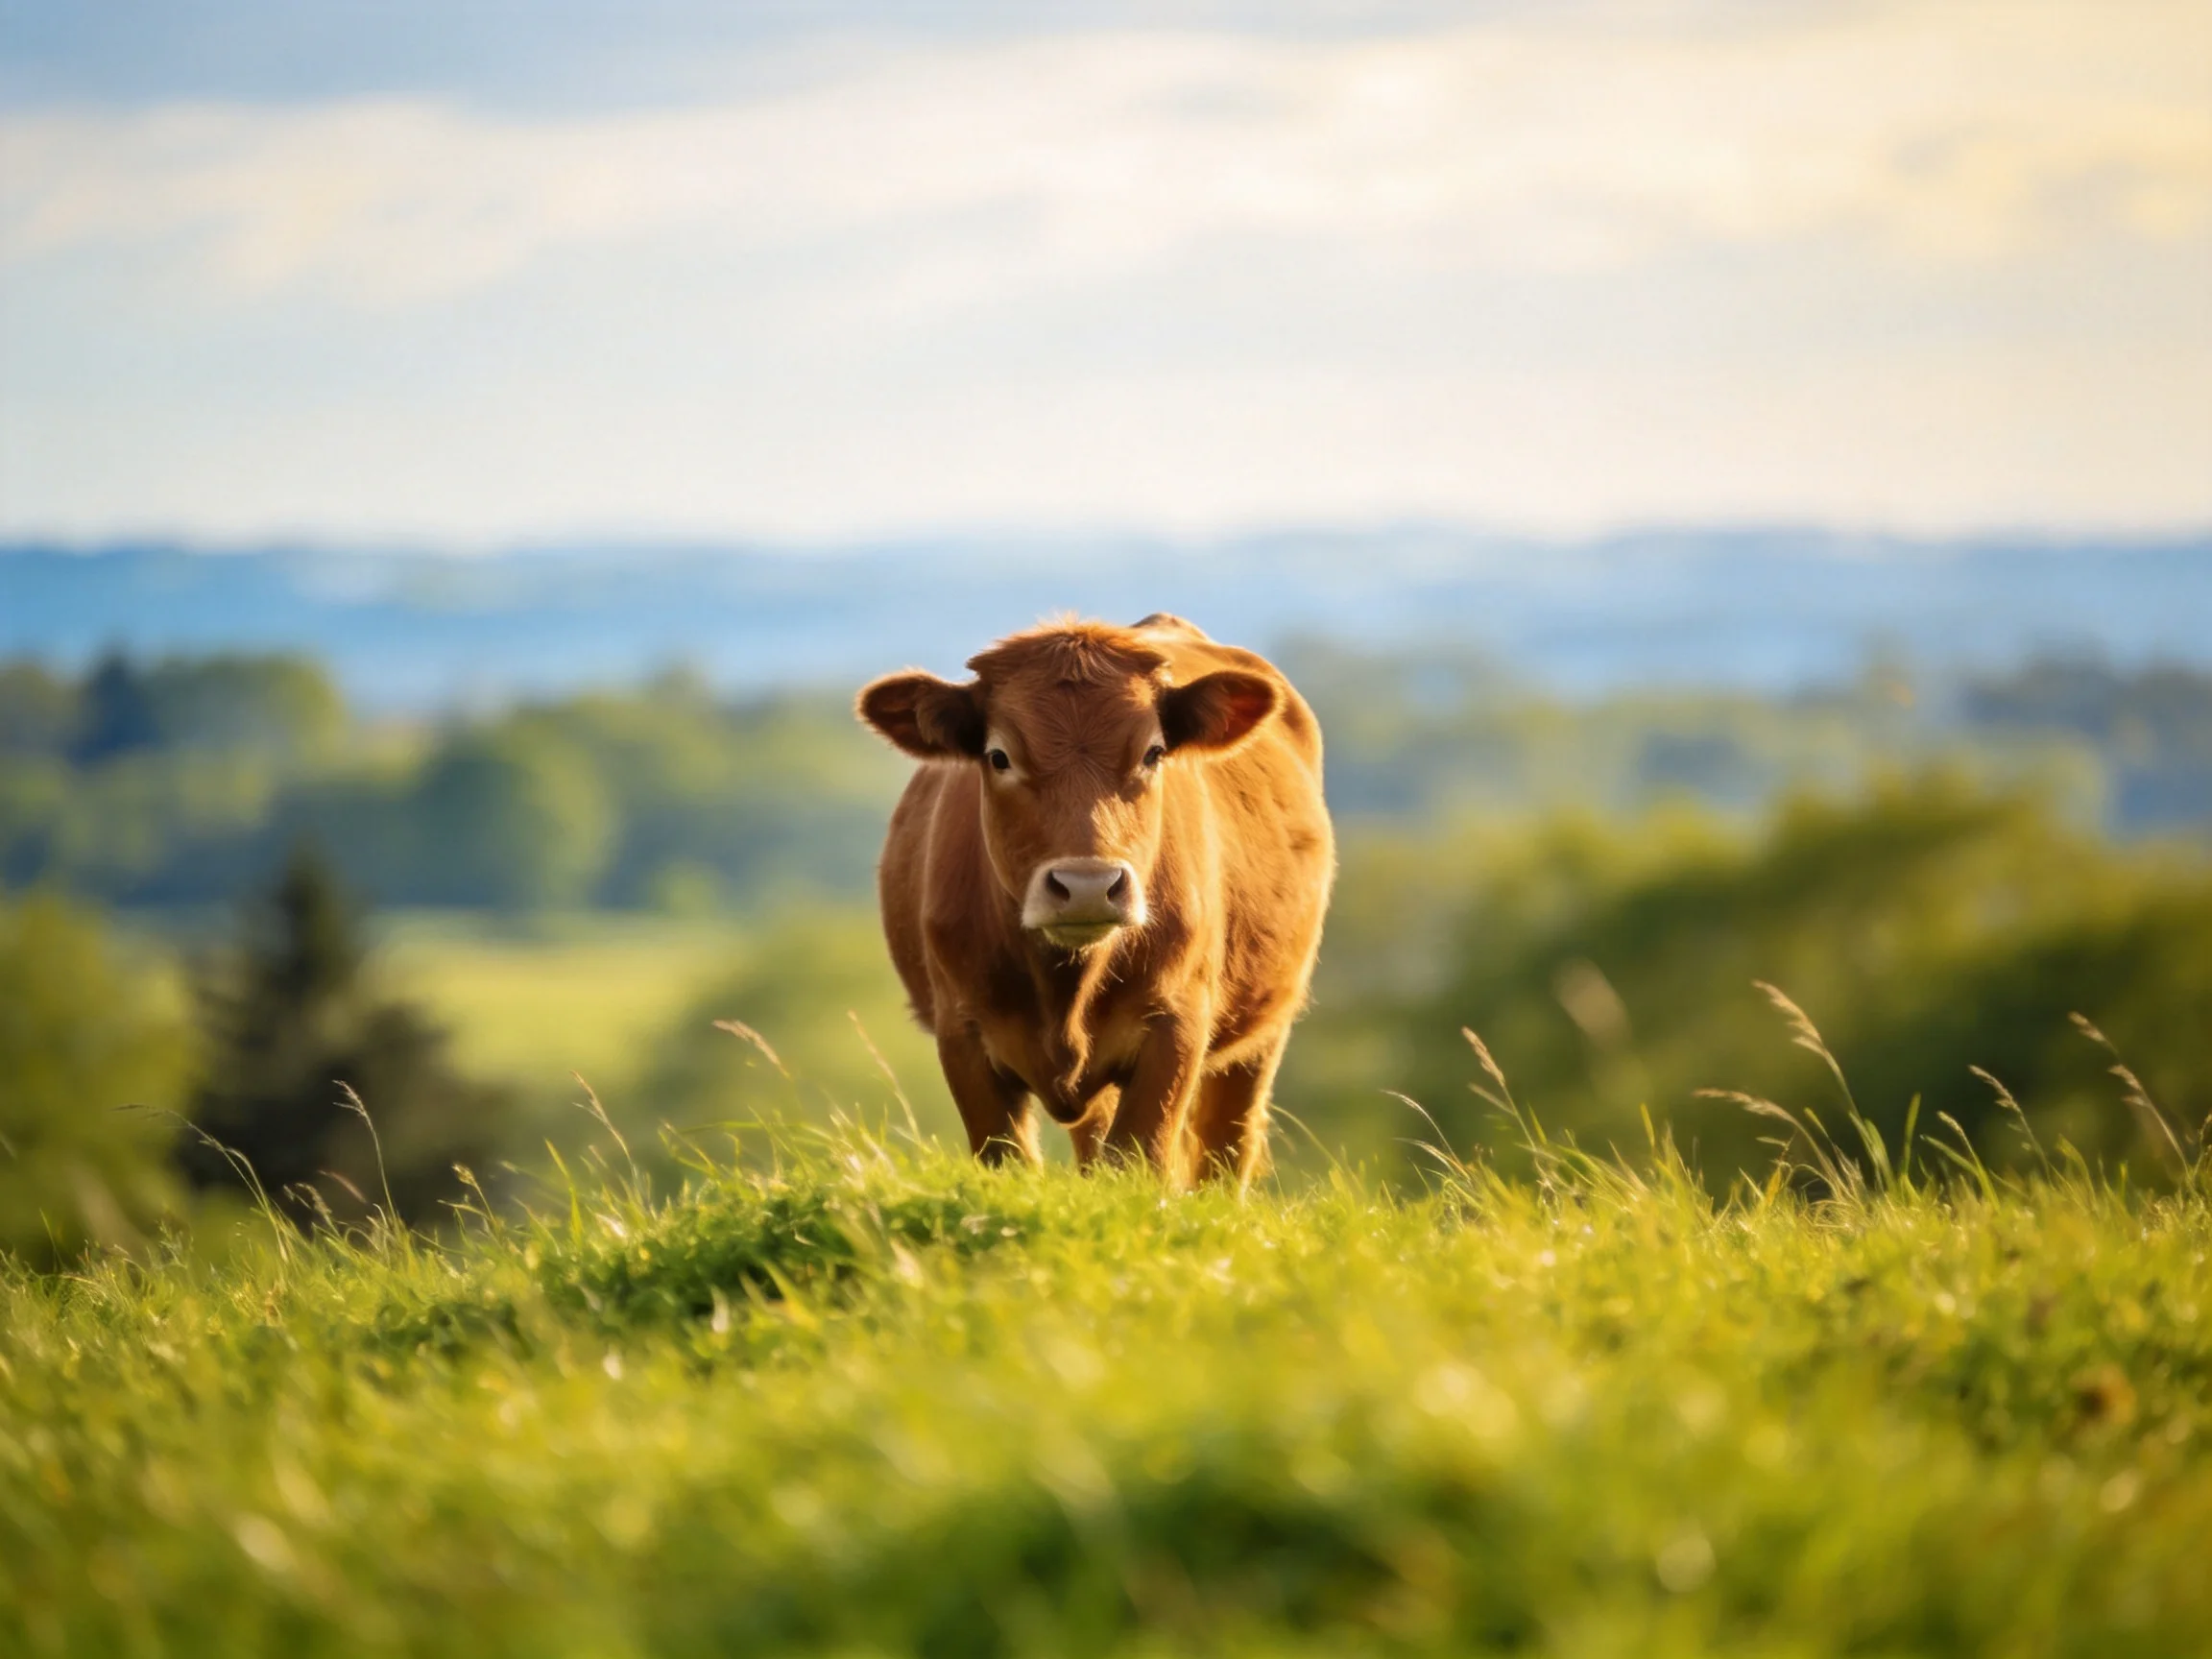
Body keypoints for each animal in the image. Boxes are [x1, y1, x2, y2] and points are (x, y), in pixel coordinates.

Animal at [856, 614, 1334, 1189]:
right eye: (999, 757)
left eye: (1153, 753)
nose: (1087, 885)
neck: (1065, 984)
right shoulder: (962, 1031)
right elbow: (1009, 1161)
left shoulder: (1176, 1024)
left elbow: (1139, 1157)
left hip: (1262, 1031)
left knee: (1225, 1147)